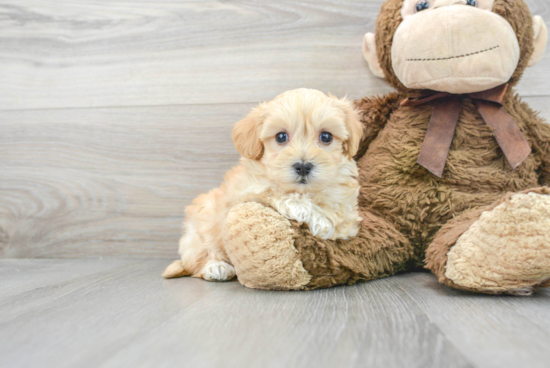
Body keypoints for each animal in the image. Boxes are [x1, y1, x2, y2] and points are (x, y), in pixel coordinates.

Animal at [162, 89, 364, 282]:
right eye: (281, 137)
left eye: (326, 136)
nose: (303, 166)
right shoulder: (247, 189)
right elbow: (275, 192)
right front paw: (315, 217)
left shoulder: (346, 205)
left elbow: (340, 214)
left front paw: (326, 220)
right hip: (200, 227)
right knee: (200, 258)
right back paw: (216, 266)